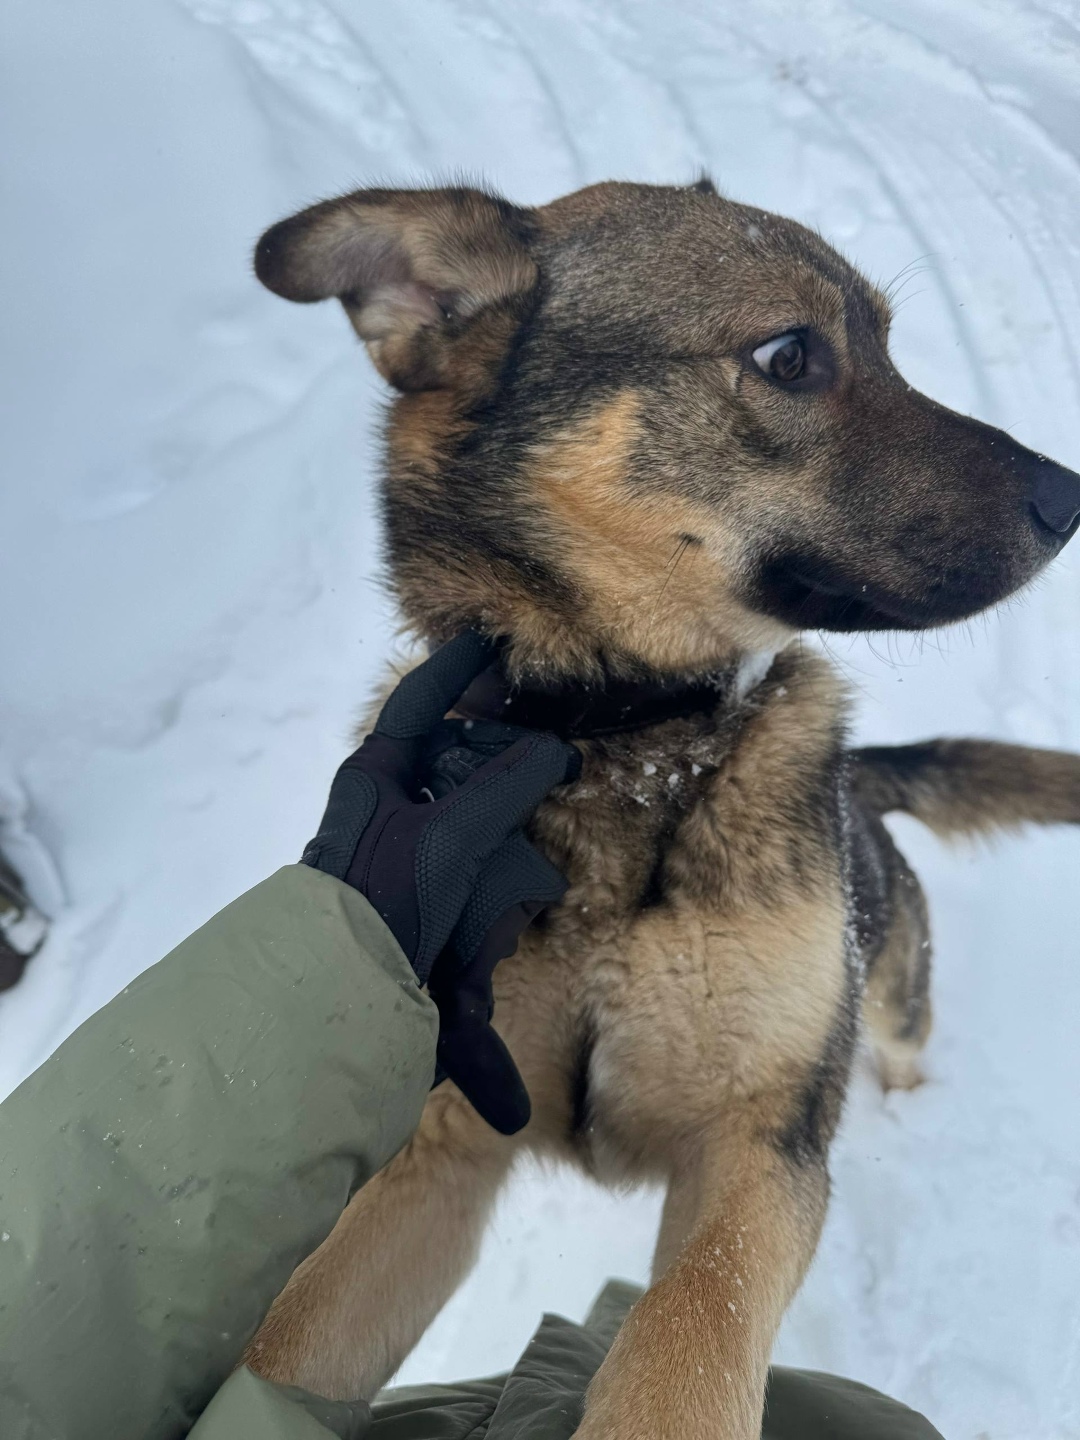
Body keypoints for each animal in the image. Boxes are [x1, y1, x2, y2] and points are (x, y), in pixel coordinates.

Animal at [243, 180, 1080, 1438]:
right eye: (789, 354)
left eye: (890, 342)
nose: (1073, 497)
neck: (626, 742)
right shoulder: (443, 1145)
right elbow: (289, 1338)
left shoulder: (758, 1145)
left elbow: (690, 1328)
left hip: (890, 1000)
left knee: (902, 1049)